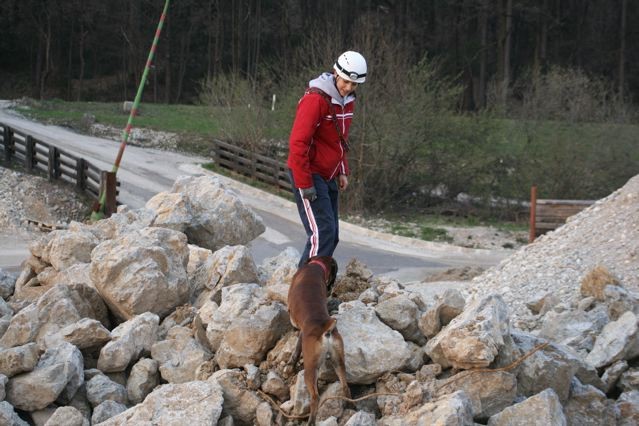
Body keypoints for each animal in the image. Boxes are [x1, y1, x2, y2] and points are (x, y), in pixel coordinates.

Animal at [288, 255, 352, 424]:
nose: (331, 290)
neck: (316, 265)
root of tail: (326, 329)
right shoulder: (303, 332)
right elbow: (297, 347)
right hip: (338, 361)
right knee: (345, 386)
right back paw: (352, 406)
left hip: (310, 370)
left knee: (315, 397)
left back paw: (311, 421)